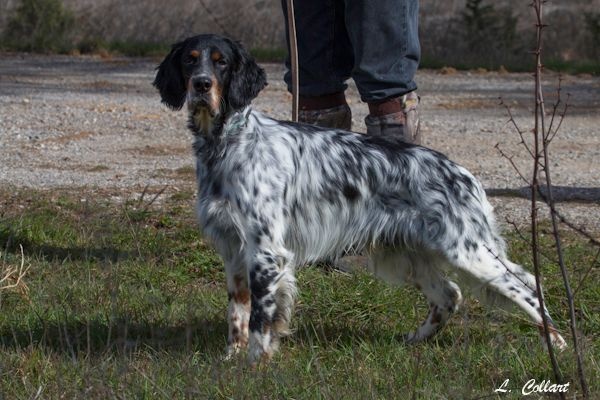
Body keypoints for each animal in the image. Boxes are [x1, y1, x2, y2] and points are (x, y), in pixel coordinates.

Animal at [155, 35, 568, 366]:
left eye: (221, 62)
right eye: (190, 59)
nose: (201, 84)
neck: (228, 142)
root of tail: (463, 174)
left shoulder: (266, 252)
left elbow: (260, 317)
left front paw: (255, 363)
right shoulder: (233, 250)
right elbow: (237, 313)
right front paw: (232, 357)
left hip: (468, 252)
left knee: (528, 287)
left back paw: (558, 345)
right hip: (410, 253)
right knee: (449, 295)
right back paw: (414, 340)